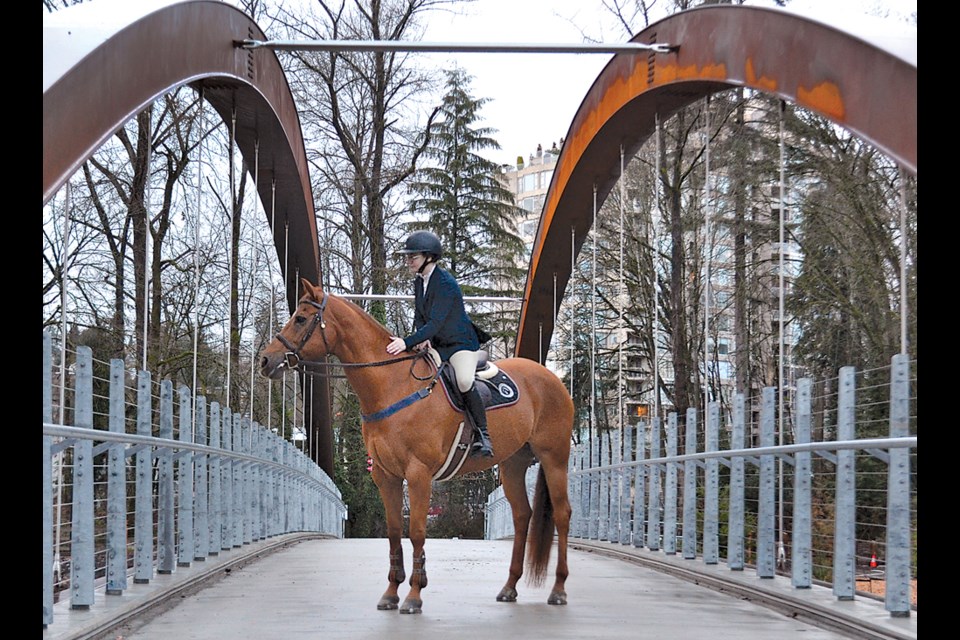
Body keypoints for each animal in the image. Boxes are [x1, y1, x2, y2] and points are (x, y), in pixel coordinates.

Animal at [258, 280, 572, 616]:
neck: (393, 385)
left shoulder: (419, 474)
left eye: (301, 319)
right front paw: (391, 592)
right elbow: (395, 532)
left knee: (562, 514)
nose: (266, 360)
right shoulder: (386, 476)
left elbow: (417, 532)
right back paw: (510, 586)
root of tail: (552, 377)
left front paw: (414, 594)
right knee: (522, 515)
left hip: (554, 459)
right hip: (512, 464)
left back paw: (558, 589)